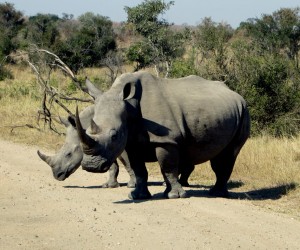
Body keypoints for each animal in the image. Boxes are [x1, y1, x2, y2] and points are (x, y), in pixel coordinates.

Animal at [76, 72, 250, 199]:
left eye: (114, 136)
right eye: (87, 132)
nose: (91, 167)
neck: (129, 105)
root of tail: (235, 93)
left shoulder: (166, 140)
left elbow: (168, 166)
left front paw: (175, 196)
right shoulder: (131, 142)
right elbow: (139, 169)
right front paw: (137, 196)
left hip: (243, 110)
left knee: (229, 154)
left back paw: (217, 194)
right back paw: (215, 193)